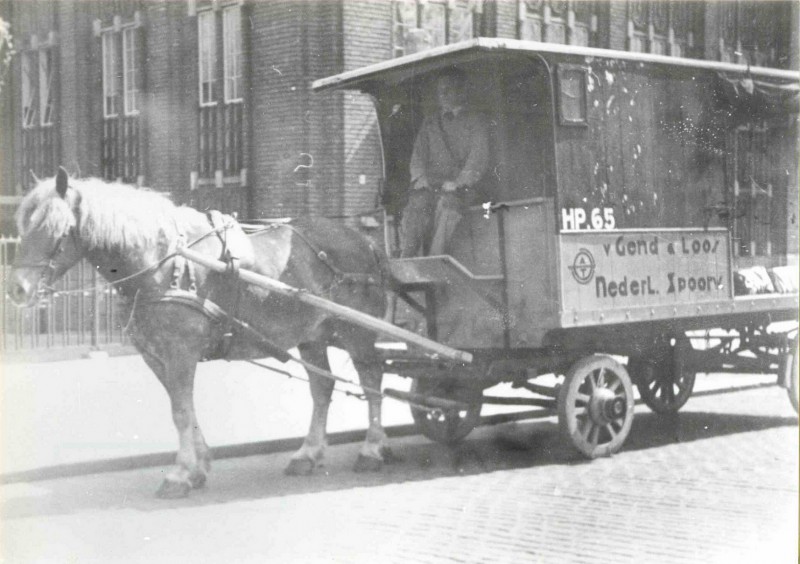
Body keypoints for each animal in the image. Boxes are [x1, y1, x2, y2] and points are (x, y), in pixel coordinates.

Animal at [10, 166, 396, 498]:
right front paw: (198, 468)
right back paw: (308, 454)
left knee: (372, 380)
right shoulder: (156, 356)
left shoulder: (181, 351)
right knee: (322, 388)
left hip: (358, 334)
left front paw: (179, 474)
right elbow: (182, 408)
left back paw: (372, 449)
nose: (17, 289)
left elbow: (181, 411)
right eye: (23, 225)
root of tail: (364, 241)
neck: (163, 262)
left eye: (58, 230)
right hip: (312, 337)